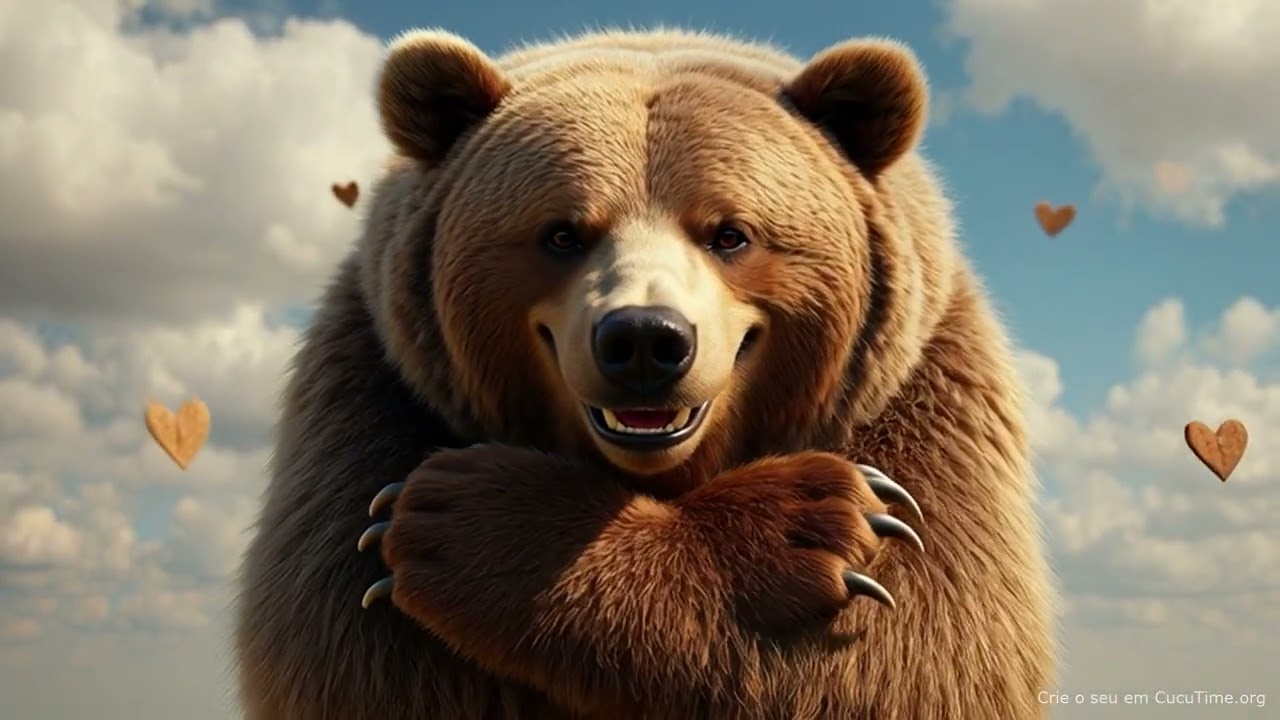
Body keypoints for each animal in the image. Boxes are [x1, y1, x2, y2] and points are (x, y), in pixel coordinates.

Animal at [233, 26, 1057, 720]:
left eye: (731, 232)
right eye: (562, 232)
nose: (643, 341)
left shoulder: (927, 408)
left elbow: (906, 648)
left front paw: (817, 523)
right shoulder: (369, 404)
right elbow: (358, 652)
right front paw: (426, 521)